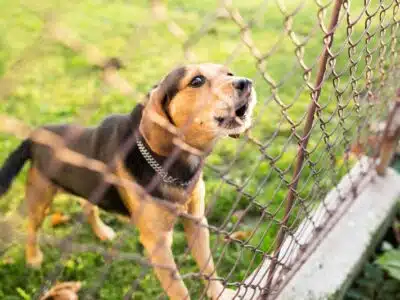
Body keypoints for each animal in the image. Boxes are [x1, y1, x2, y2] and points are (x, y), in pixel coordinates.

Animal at [0, 62, 256, 298]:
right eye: (197, 81)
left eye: (229, 73)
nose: (247, 83)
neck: (173, 165)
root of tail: (34, 136)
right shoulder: (158, 244)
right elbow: (179, 289)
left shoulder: (197, 222)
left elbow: (208, 266)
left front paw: (219, 292)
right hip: (40, 197)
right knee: (32, 227)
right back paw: (33, 258)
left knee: (87, 206)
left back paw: (102, 232)